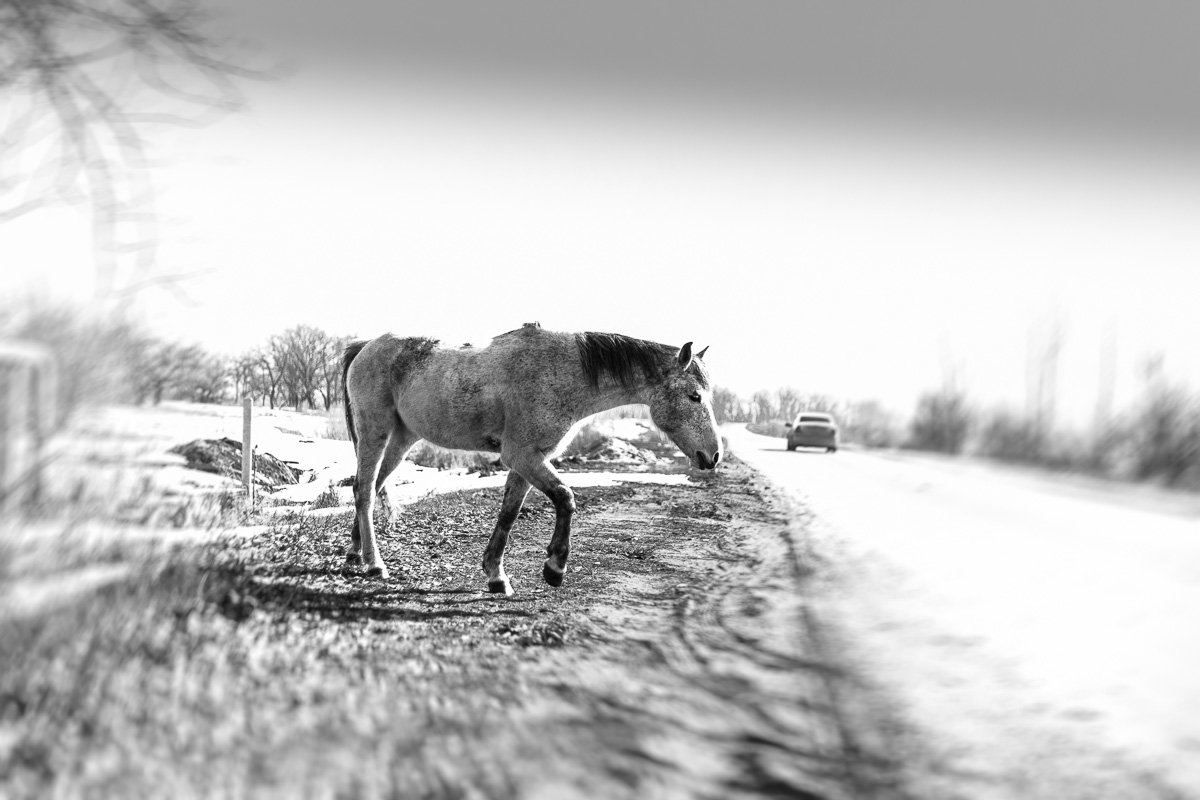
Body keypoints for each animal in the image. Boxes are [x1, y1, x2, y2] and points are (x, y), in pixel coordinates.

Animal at [338, 323, 720, 594]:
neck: (564, 372)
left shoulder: (526, 462)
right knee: (365, 490)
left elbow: (508, 515)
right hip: (376, 432)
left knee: (371, 488)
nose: (714, 455)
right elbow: (565, 498)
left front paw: (496, 576)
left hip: (402, 438)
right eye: (695, 396)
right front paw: (554, 568)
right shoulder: (522, 456)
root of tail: (365, 347)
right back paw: (374, 564)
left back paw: (355, 553)